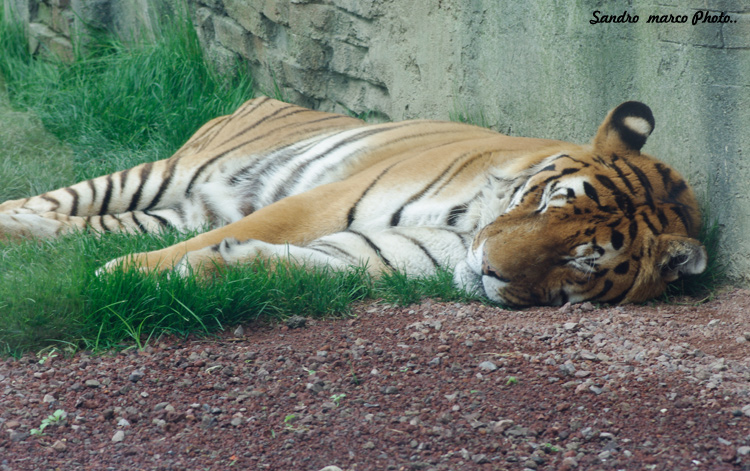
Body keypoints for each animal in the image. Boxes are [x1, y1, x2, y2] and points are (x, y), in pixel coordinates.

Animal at [0, 97, 707, 306]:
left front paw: (207, 271)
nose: (488, 269)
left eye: (581, 261)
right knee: (46, 202)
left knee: (73, 223)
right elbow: (271, 229)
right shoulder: (326, 200)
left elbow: (302, 265)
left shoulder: (385, 251)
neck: (469, 229)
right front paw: (122, 278)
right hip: (169, 172)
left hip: (172, 206)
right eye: (545, 203)